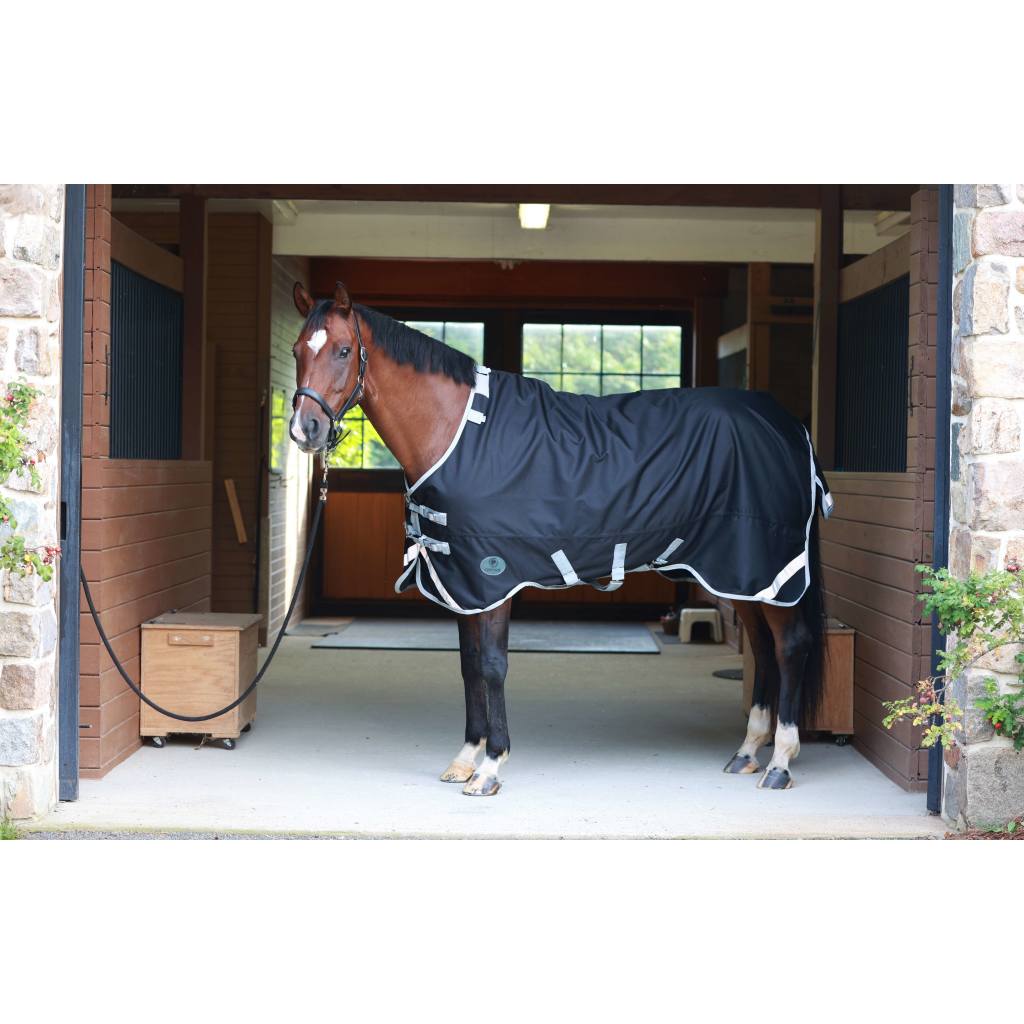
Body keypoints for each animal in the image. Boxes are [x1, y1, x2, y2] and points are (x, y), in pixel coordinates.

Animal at [289, 281, 830, 796]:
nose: (303, 429)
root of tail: (789, 426)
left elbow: (492, 666)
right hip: (737, 576)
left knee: (789, 646)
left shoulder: (492, 577)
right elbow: (468, 666)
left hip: (766, 570)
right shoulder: (463, 583)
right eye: (297, 350)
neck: (457, 431)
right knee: (762, 648)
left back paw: (780, 763)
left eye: (343, 350)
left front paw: (490, 767)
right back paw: (747, 751)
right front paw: (465, 758)